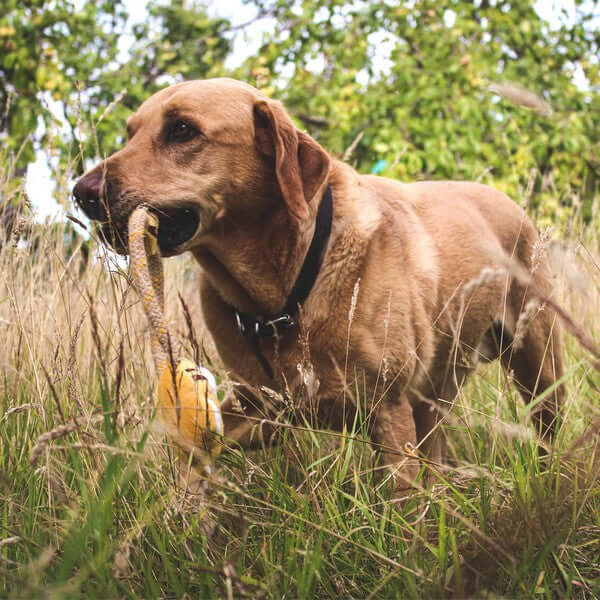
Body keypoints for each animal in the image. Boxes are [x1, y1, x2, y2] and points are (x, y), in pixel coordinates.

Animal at [72, 77, 564, 494]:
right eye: (130, 133)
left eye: (182, 130)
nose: (82, 192)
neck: (283, 294)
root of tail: (509, 202)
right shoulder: (259, 406)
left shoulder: (389, 411)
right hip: (437, 392)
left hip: (539, 368)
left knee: (546, 430)